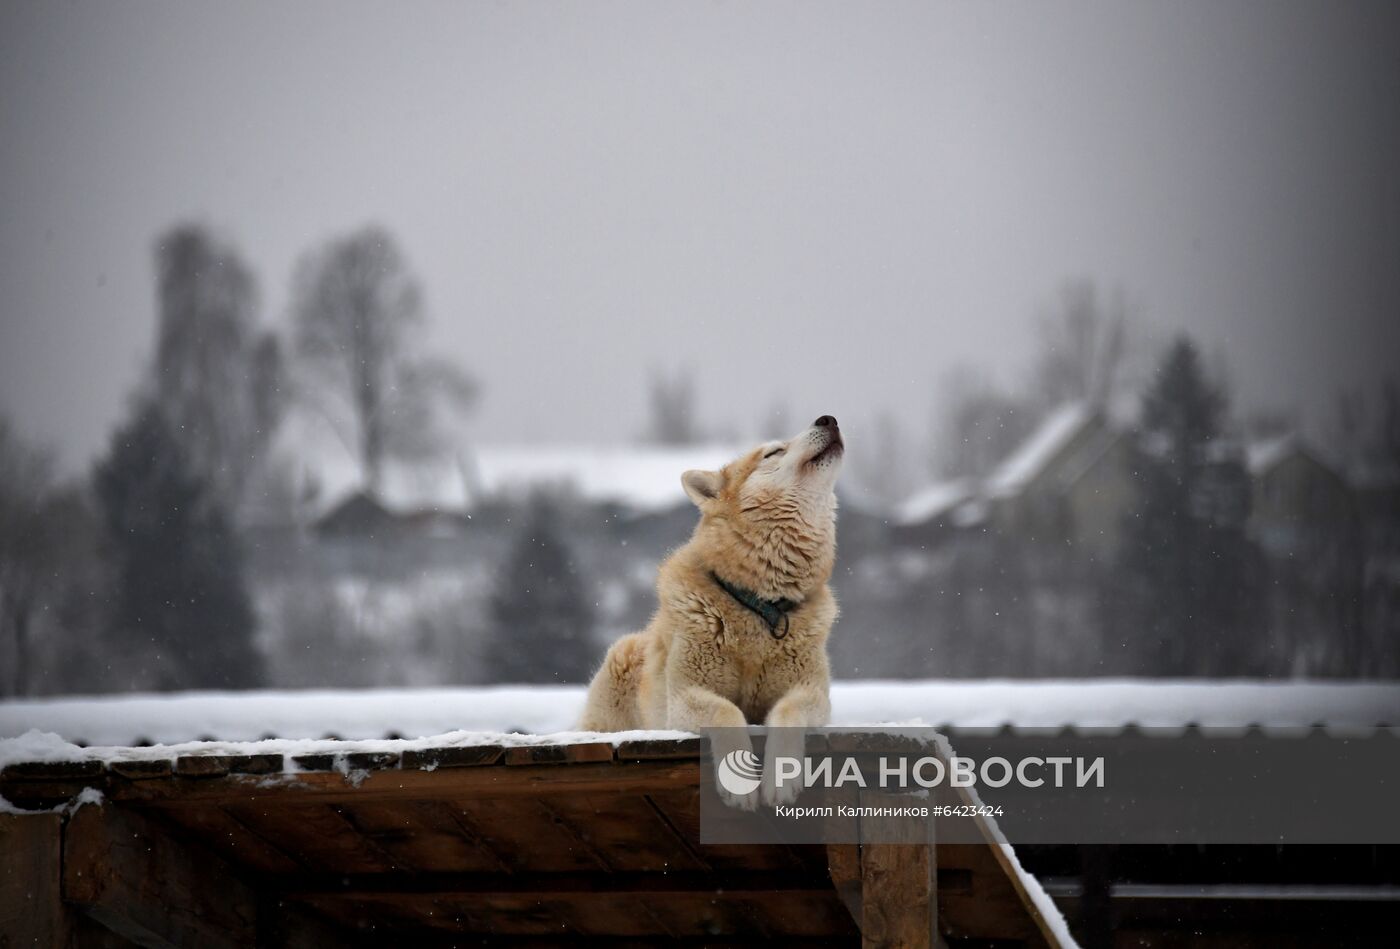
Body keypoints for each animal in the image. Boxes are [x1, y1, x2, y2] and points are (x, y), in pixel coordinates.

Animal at [576, 411, 840, 806]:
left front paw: (780, 778)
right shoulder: (685, 697)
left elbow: (788, 710)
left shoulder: (811, 691)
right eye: (773, 452)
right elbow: (726, 710)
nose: (829, 419)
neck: (760, 607)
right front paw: (740, 783)